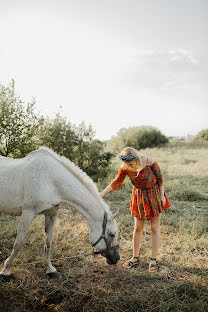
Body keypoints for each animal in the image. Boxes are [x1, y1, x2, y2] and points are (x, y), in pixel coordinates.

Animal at [0, 147, 119, 276]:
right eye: (112, 234)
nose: (117, 258)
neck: (50, 180)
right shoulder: (28, 213)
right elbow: (18, 243)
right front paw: (6, 269)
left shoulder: (51, 214)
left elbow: (48, 242)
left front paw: (50, 269)